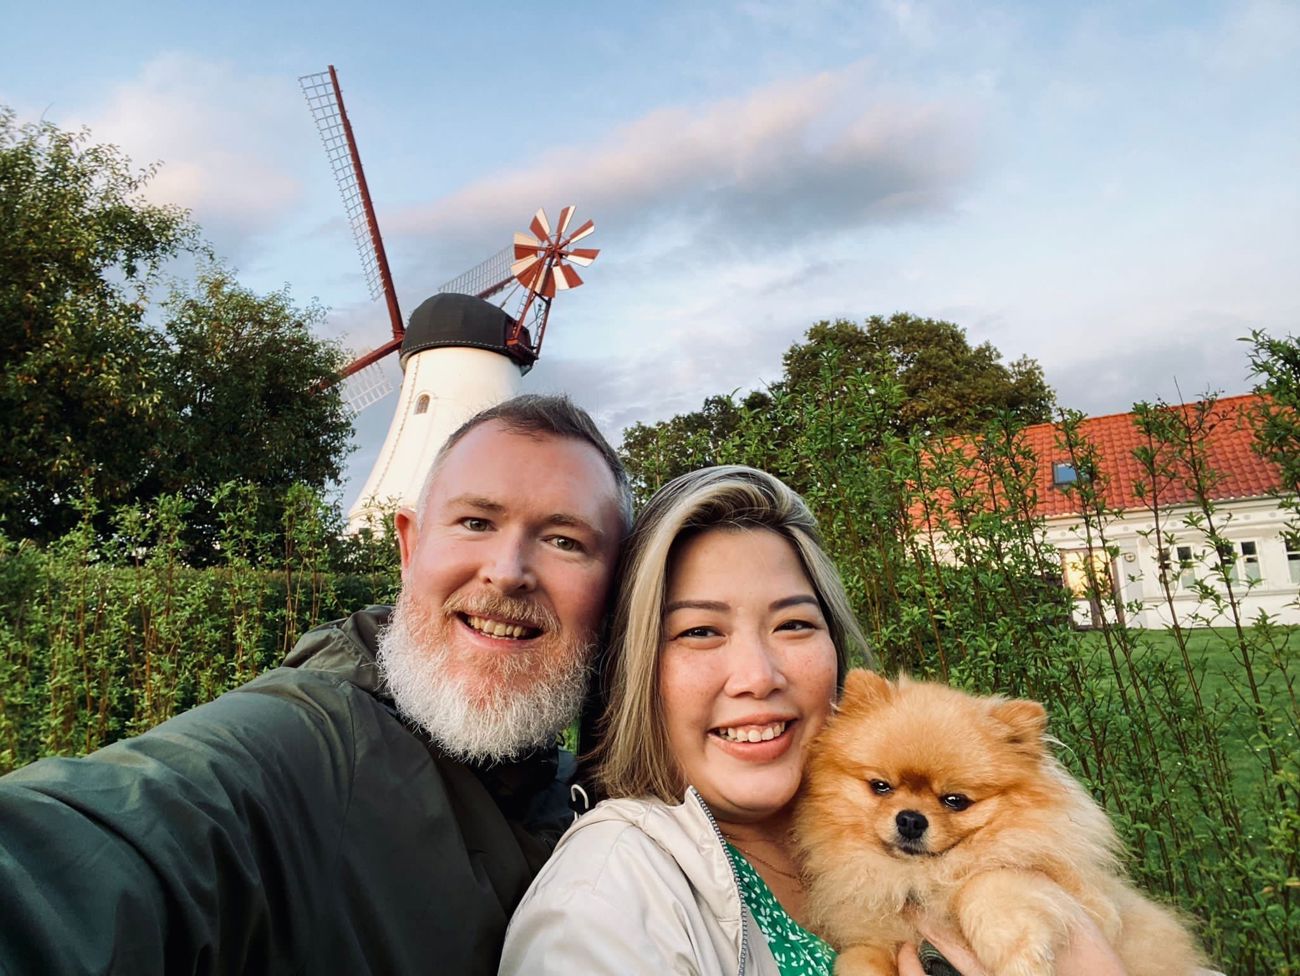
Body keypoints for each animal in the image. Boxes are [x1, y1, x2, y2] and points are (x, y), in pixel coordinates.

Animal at [794, 671, 1204, 976]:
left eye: (955, 801)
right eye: (881, 786)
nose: (910, 820)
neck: (918, 880)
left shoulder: (1083, 903)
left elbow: (987, 880)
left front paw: (1017, 957)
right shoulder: (870, 939)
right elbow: (858, 958)